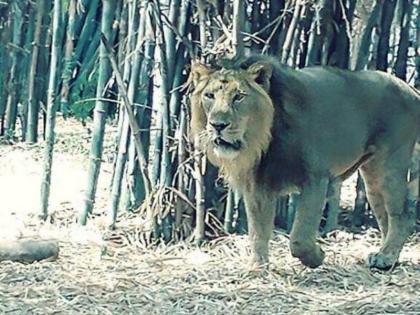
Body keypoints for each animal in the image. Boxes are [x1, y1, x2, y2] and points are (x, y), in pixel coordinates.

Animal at [189, 55, 420, 272]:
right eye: (209, 96)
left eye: (238, 97)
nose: (217, 125)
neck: (263, 139)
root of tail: (410, 88)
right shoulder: (257, 186)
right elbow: (257, 232)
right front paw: (257, 267)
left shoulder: (316, 178)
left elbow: (300, 237)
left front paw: (317, 257)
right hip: (372, 177)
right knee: (385, 217)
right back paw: (388, 258)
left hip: (390, 165)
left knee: (402, 216)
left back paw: (386, 256)